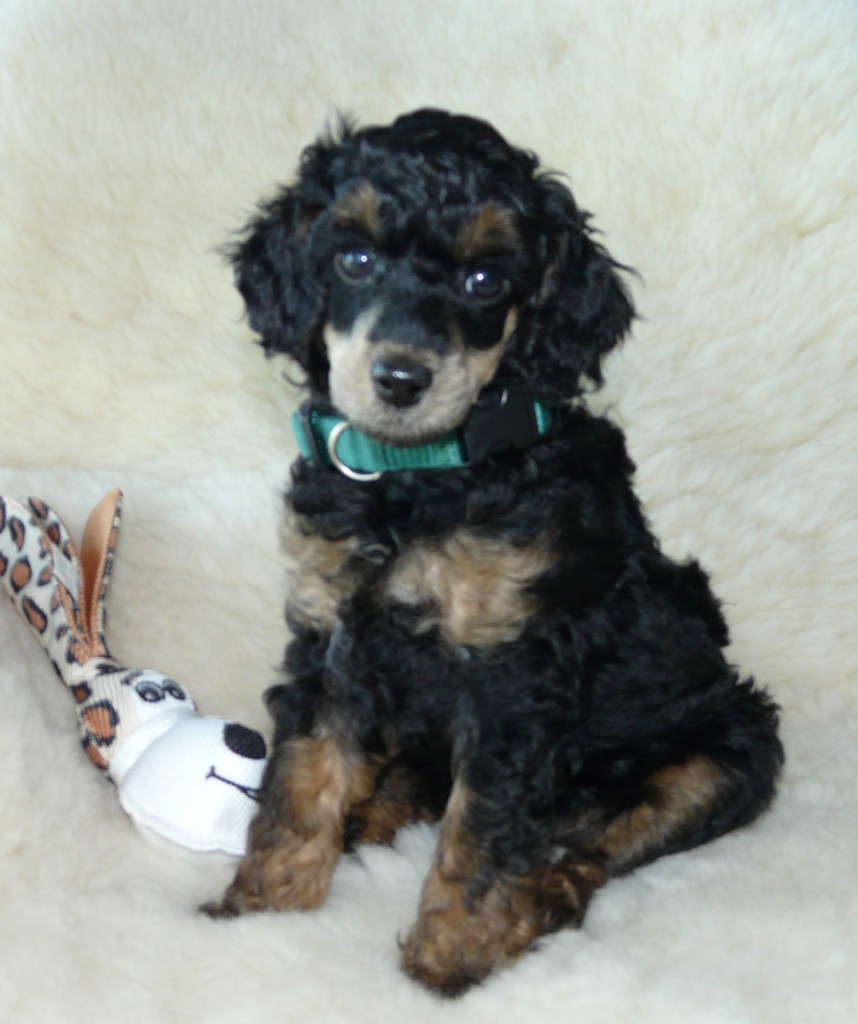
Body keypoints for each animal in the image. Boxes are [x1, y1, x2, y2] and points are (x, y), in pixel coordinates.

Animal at [203, 109, 783, 996]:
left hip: (731, 750)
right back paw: (369, 816)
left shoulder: (516, 677)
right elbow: (303, 780)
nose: (401, 378)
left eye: (484, 281)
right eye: (354, 258)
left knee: (595, 848)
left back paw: (535, 900)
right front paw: (264, 910)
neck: (420, 479)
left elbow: (480, 833)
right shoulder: (332, 637)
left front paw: (448, 960)